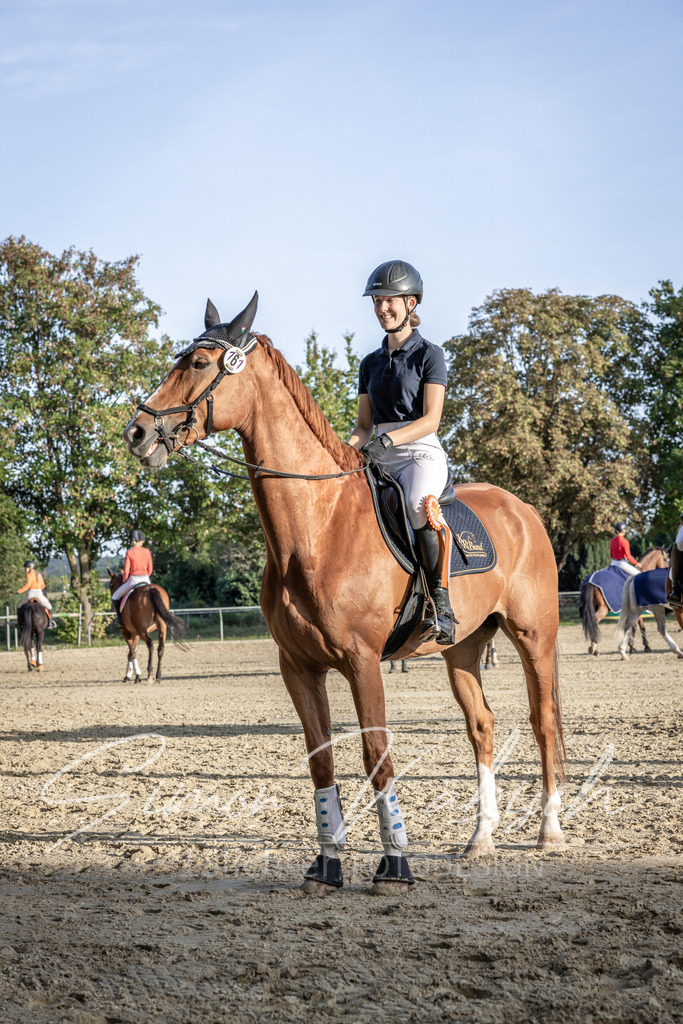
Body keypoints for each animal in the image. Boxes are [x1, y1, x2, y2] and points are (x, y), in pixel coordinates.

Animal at [123, 293, 567, 892]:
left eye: (196, 364)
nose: (138, 434)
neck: (318, 528)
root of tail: (524, 511)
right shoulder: (299, 666)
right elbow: (321, 759)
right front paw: (327, 864)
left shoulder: (362, 662)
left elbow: (376, 754)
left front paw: (395, 865)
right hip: (464, 648)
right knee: (482, 726)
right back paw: (481, 837)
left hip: (533, 637)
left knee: (543, 720)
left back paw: (550, 830)